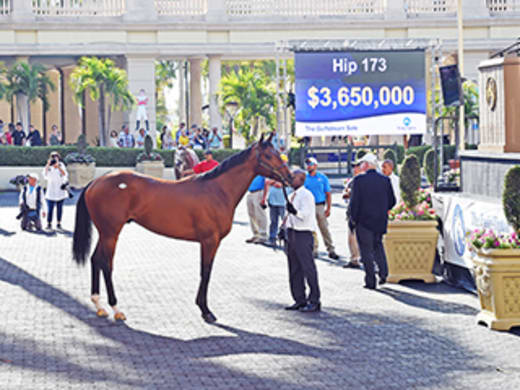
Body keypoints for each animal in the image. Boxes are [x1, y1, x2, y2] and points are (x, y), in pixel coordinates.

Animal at [72, 134, 292, 322]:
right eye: (268, 155)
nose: (290, 176)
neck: (217, 190)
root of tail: (95, 182)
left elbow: (206, 271)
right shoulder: (209, 241)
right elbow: (206, 272)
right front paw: (206, 310)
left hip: (105, 232)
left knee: (95, 259)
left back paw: (99, 305)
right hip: (111, 233)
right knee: (106, 264)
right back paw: (116, 308)